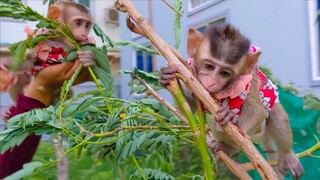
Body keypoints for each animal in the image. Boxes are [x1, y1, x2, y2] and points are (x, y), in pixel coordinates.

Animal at [159, 22, 304, 179]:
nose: (211, 83)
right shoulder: (194, 80)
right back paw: (228, 148)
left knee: (276, 115)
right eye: (209, 66)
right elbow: (190, 108)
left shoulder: (250, 78)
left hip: (261, 130)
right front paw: (167, 78)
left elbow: (257, 110)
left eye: (224, 73)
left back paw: (287, 156)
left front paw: (232, 118)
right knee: (214, 120)